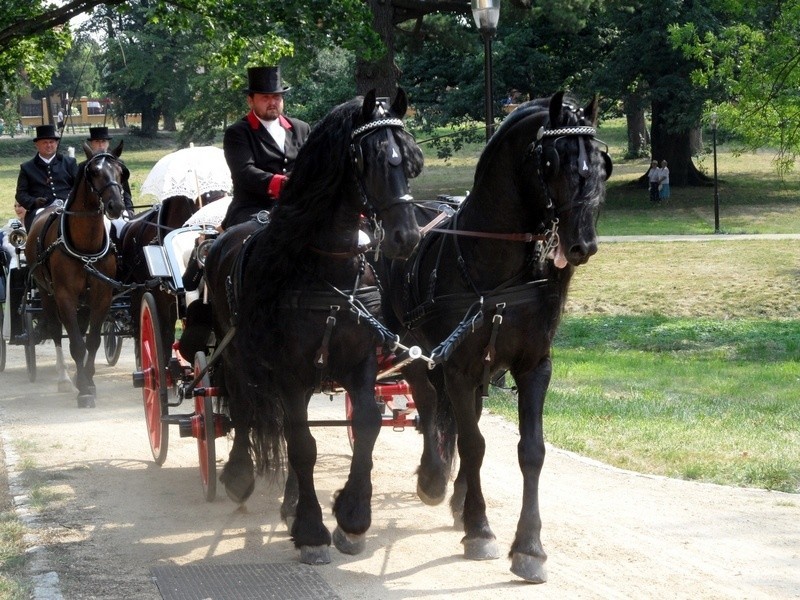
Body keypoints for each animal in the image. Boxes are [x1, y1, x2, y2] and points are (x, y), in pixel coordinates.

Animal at [24, 144, 126, 408]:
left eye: (121, 171)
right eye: (94, 171)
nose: (116, 206)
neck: (86, 247)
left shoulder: (102, 296)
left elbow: (92, 340)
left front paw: (88, 380)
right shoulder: (65, 296)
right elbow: (76, 344)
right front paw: (83, 389)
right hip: (47, 294)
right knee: (55, 330)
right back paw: (63, 379)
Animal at [203, 88, 422, 564]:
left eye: (410, 160)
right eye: (369, 160)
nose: (407, 238)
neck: (327, 266)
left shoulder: (358, 361)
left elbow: (365, 427)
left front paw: (352, 520)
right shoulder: (290, 370)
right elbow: (303, 444)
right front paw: (311, 531)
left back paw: (288, 502)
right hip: (236, 354)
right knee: (245, 411)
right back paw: (239, 477)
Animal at [384, 92, 608, 580]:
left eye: (603, 165)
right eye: (552, 161)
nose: (582, 244)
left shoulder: (533, 366)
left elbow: (531, 451)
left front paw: (529, 547)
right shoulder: (457, 366)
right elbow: (471, 444)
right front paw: (480, 530)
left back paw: (458, 497)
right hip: (414, 350)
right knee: (428, 402)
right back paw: (434, 479)